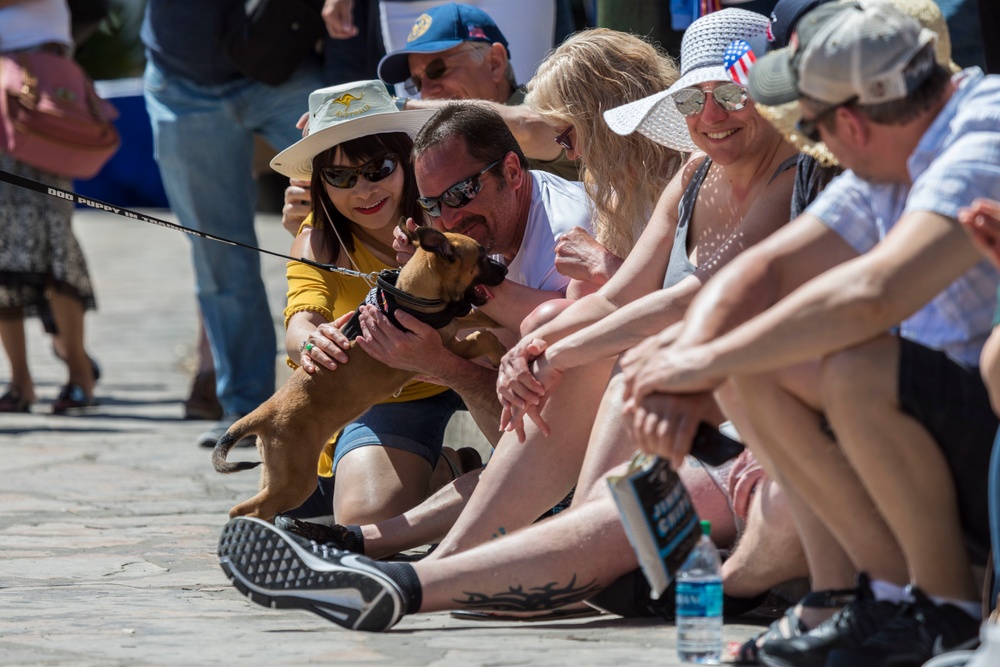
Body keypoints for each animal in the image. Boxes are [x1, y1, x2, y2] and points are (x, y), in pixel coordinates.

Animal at [213, 230, 508, 520]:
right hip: (295, 480)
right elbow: (484, 337)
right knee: (245, 509)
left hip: (276, 473)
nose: (505, 269)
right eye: (482, 256)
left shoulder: (454, 324)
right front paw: (502, 354)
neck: (411, 297)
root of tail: (265, 412)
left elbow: (482, 319)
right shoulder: (440, 349)